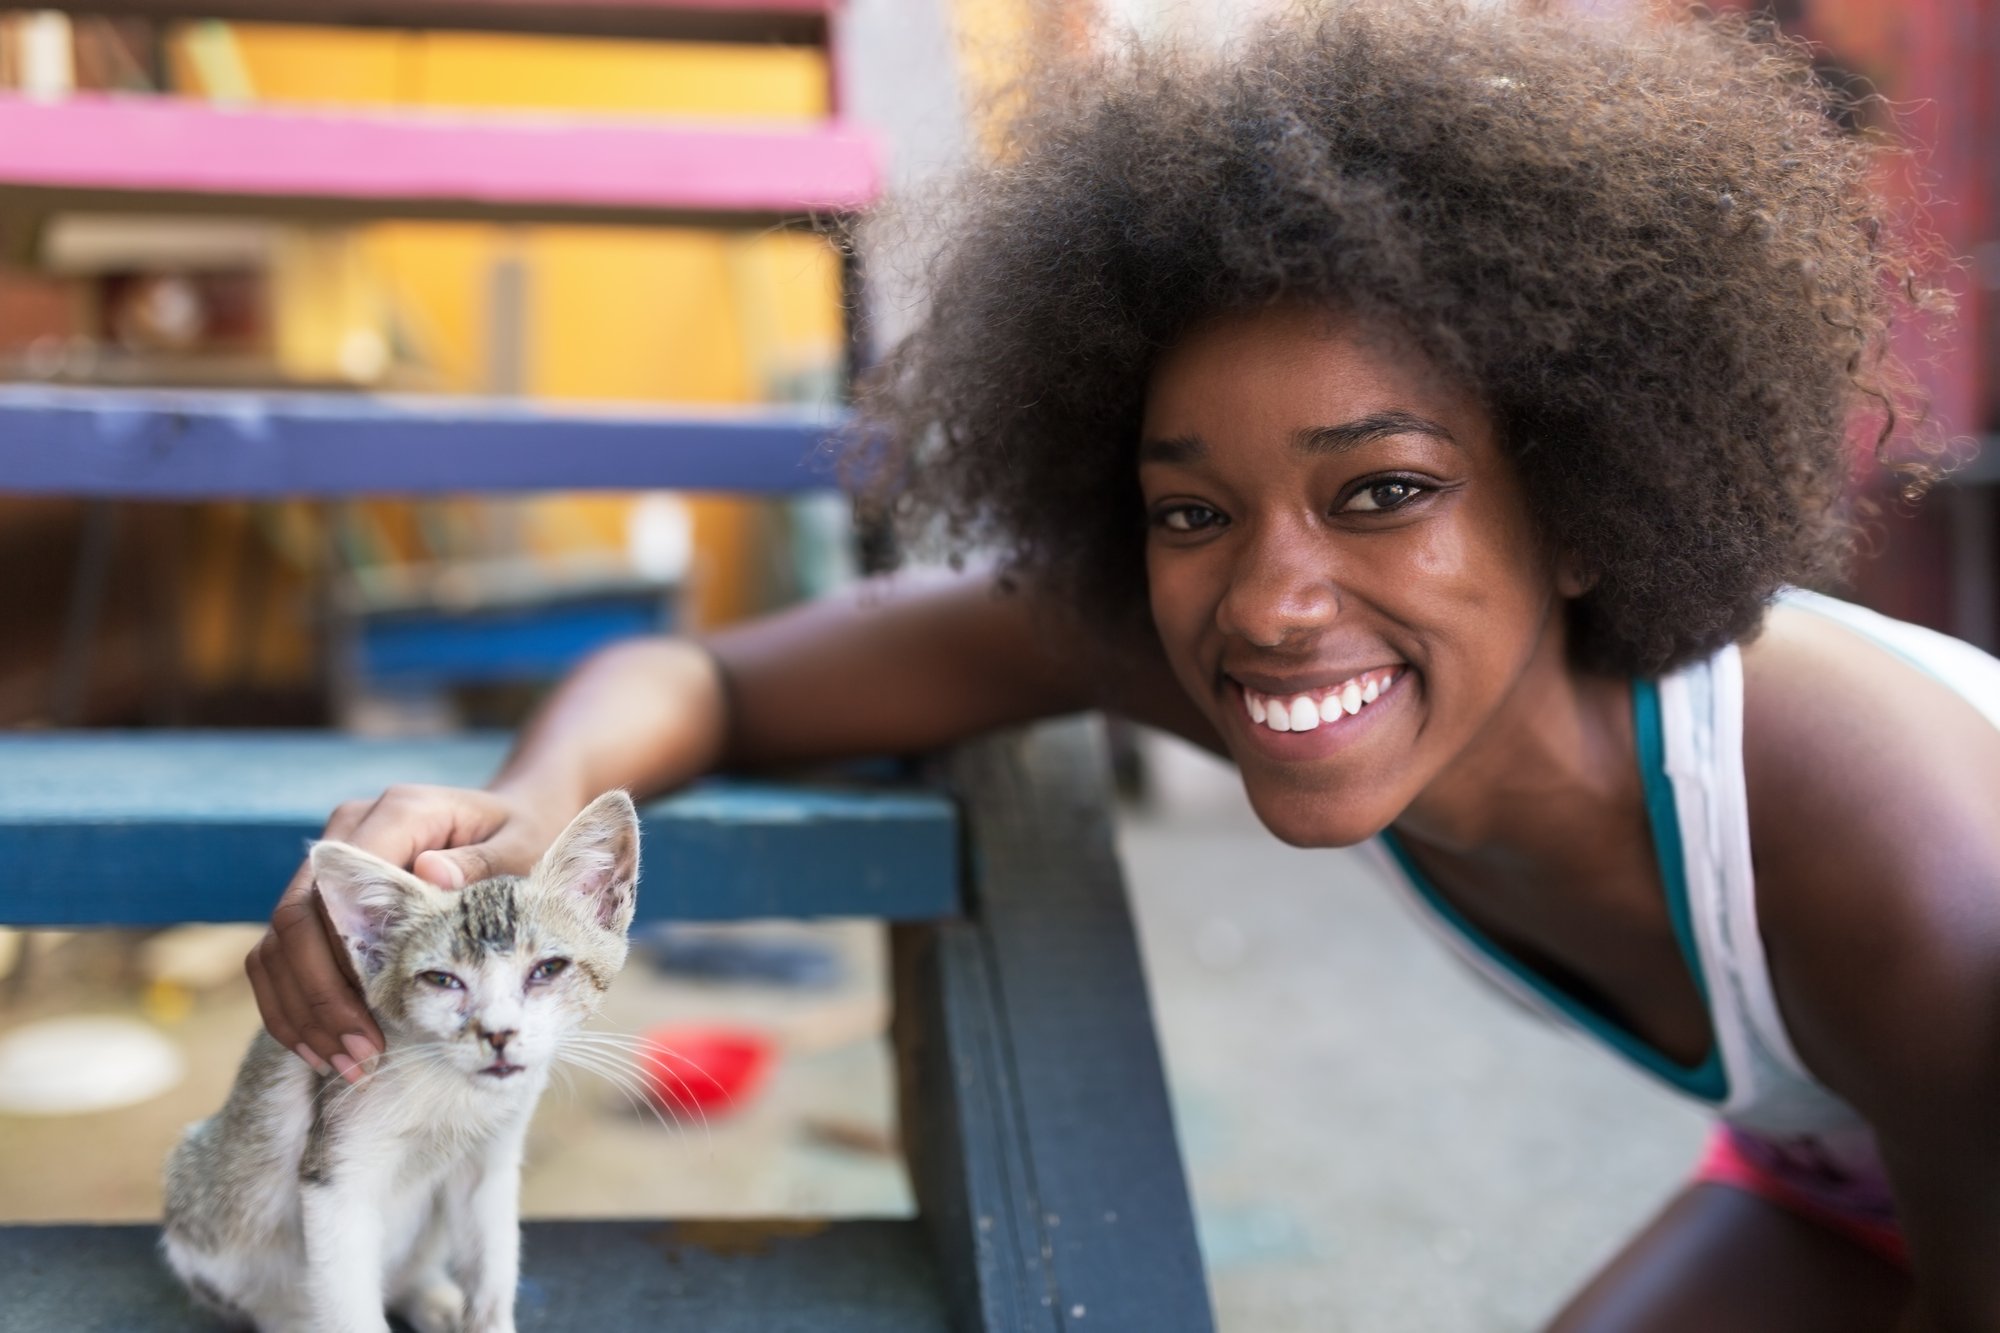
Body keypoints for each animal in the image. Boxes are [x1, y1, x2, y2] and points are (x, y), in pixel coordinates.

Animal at [170, 788, 648, 1328]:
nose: (499, 1033)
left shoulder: (491, 1163)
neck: (453, 1093)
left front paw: (487, 1318)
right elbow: (350, 1306)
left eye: (547, 969)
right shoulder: (336, 1174)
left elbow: (493, 1269)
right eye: (442, 980)